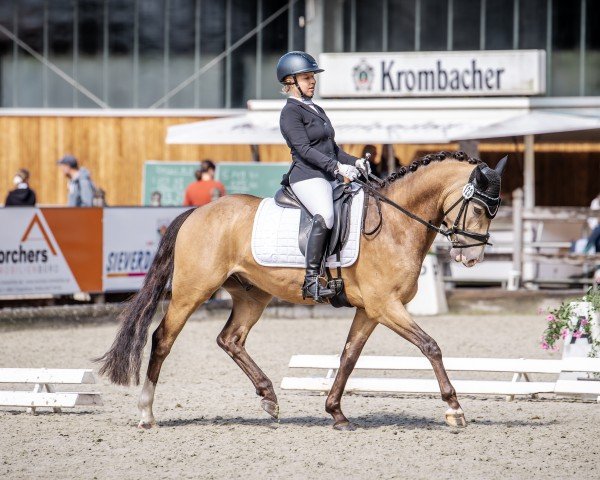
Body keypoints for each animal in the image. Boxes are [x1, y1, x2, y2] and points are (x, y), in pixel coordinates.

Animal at [97, 152, 506, 430]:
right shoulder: (385, 305)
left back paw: (269, 398)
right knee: (163, 338)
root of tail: (198, 211)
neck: (395, 223)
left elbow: (348, 356)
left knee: (231, 338)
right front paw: (454, 409)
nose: (471, 258)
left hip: (252, 295)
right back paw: (146, 412)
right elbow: (430, 346)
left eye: (494, 210)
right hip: (191, 291)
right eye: (479, 209)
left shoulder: (370, 310)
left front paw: (336, 412)